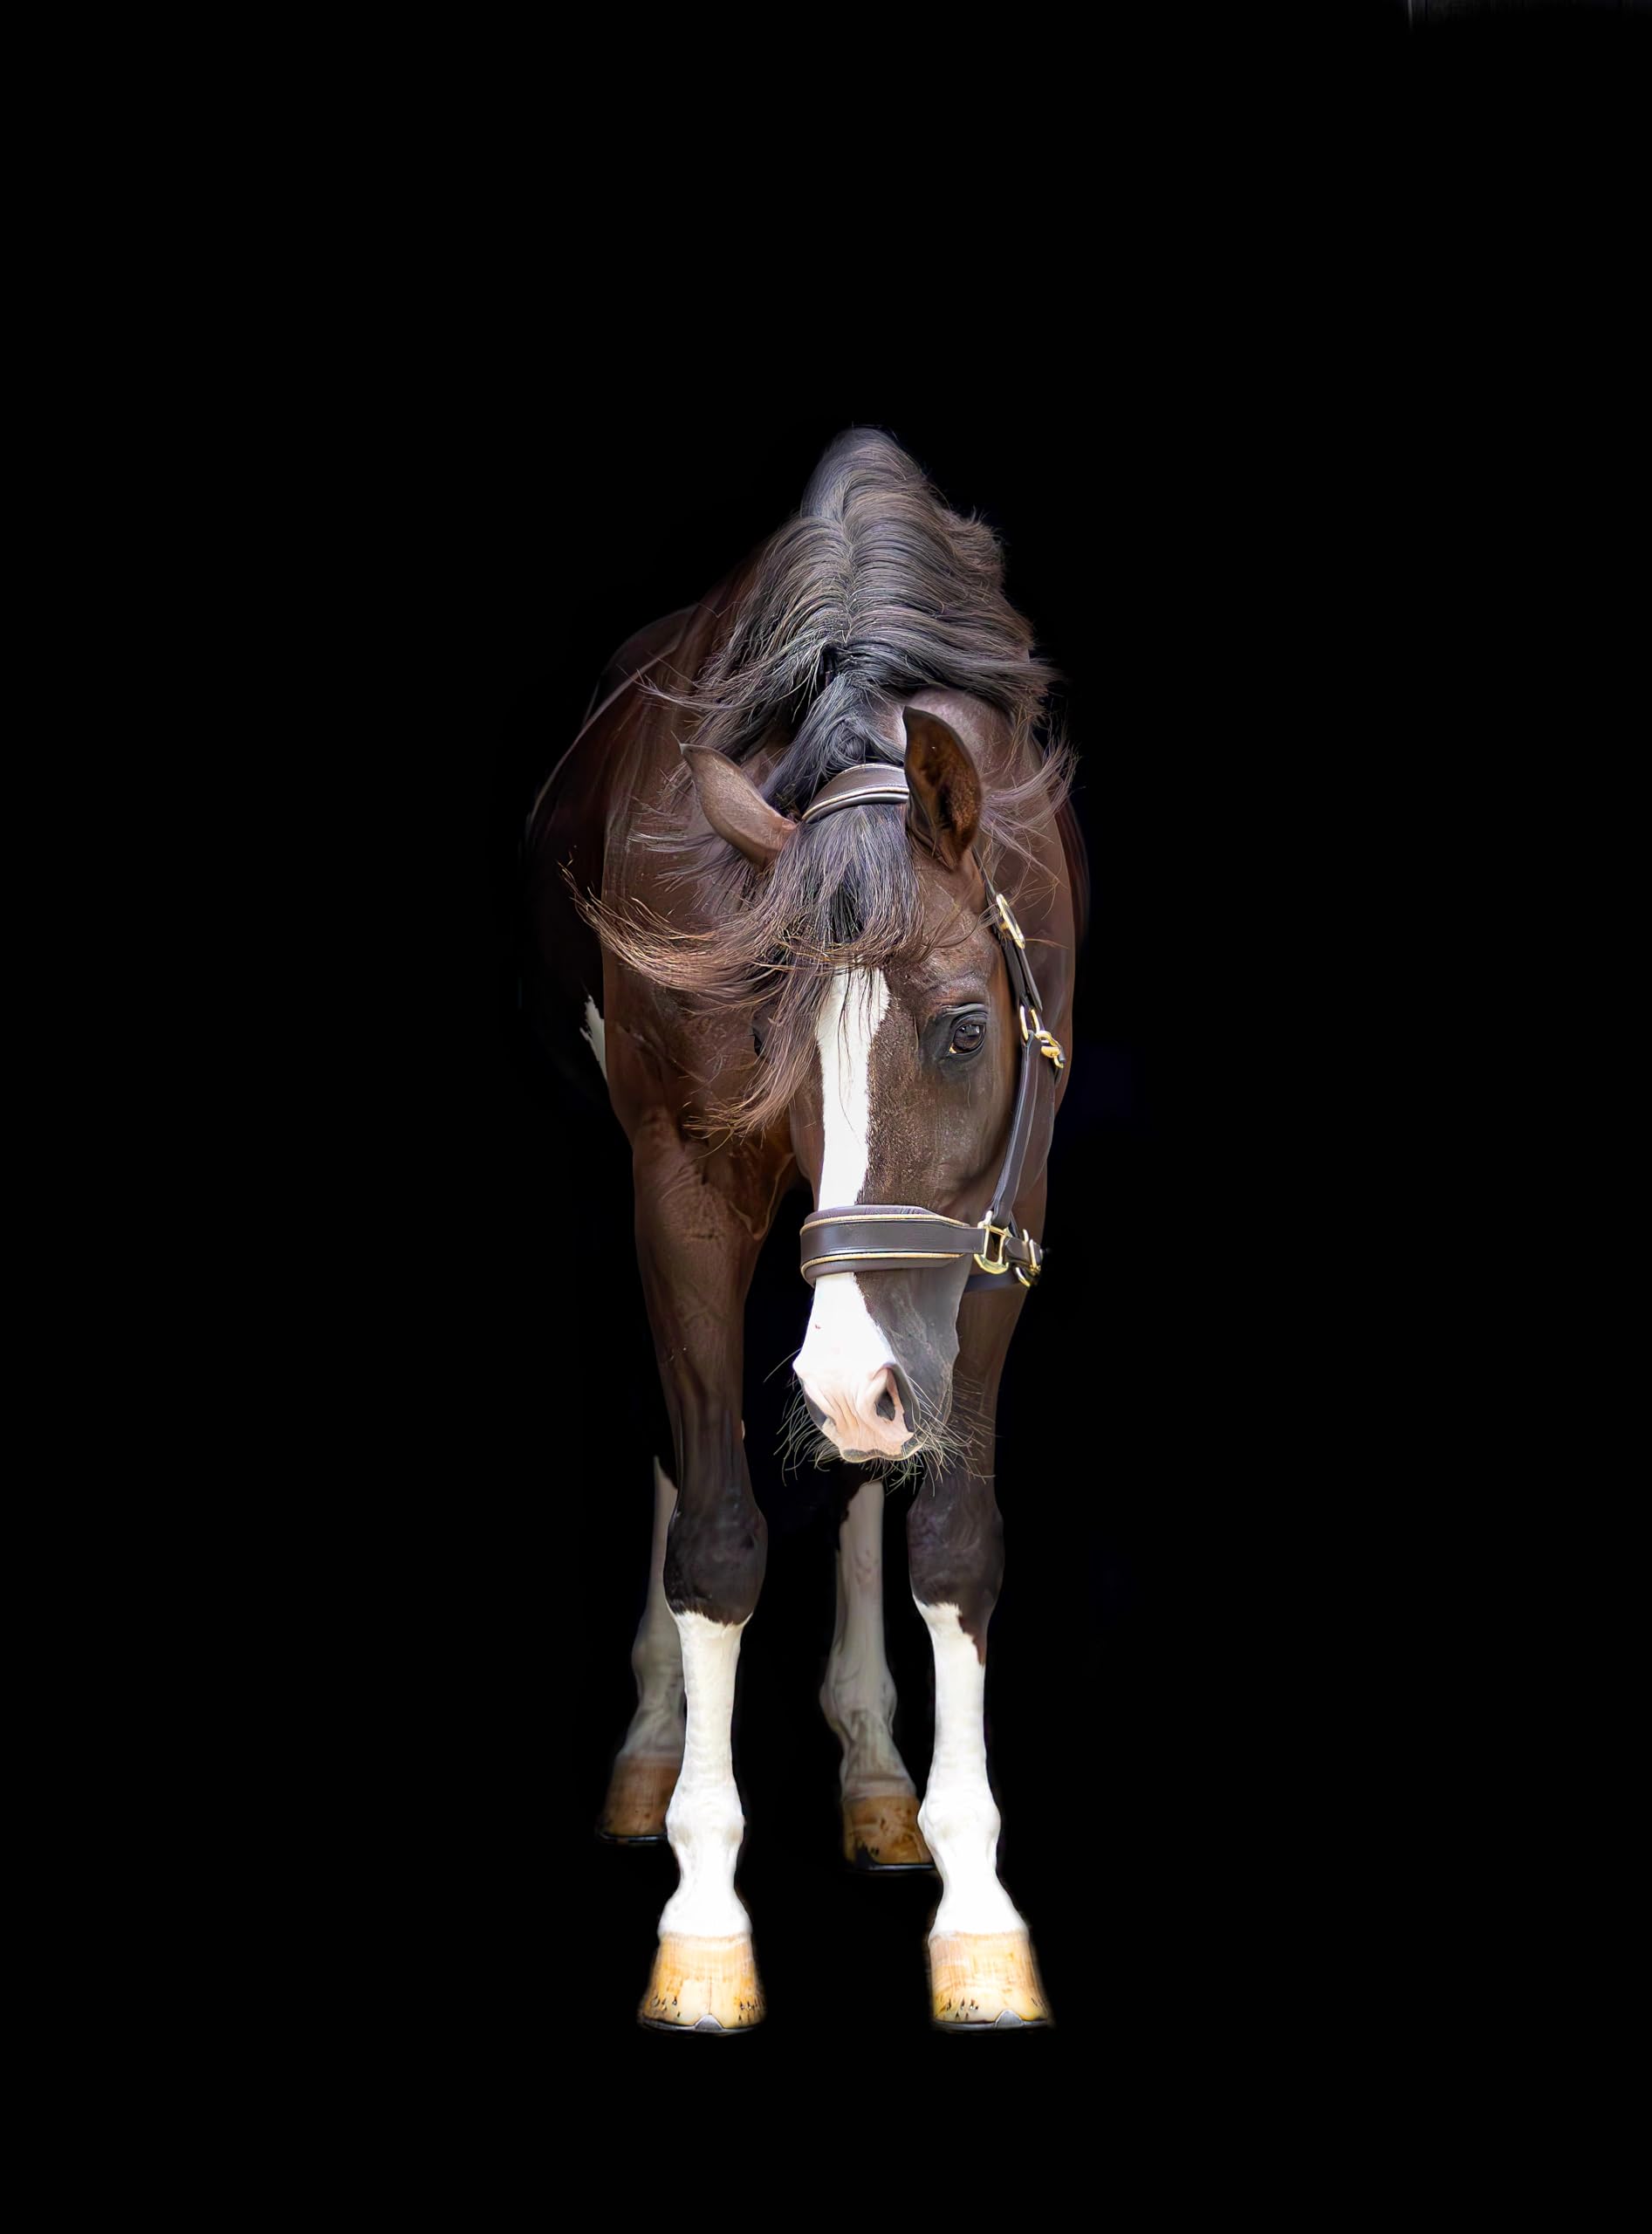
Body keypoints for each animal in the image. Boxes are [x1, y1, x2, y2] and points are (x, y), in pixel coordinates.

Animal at [525, 429, 1084, 2032]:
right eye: (767, 1045)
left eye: (963, 1030)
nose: (851, 1382)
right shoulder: (679, 1182)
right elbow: (715, 1537)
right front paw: (703, 1920)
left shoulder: (1000, 1213)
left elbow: (948, 1539)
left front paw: (977, 1909)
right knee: (684, 1445)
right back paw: (654, 1753)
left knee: (858, 1472)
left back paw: (879, 1778)